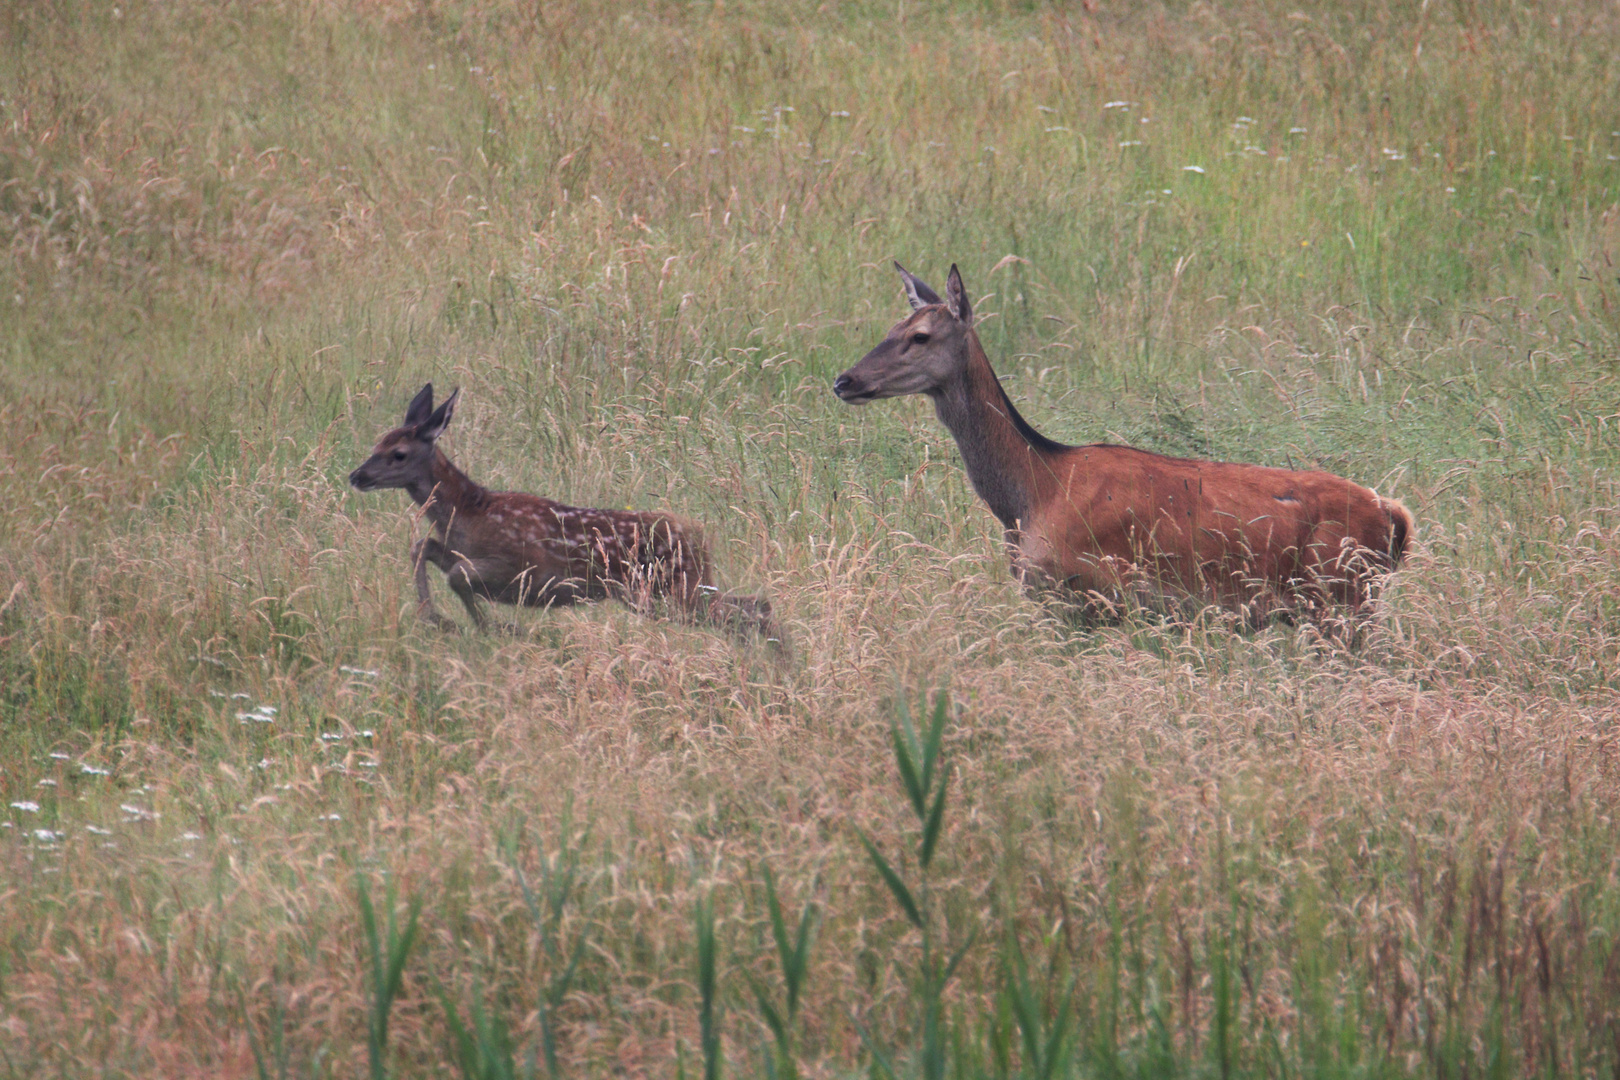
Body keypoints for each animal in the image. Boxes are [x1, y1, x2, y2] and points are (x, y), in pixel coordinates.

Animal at [349, 386, 784, 650]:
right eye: (375, 444)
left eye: (398, 453)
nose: (356, 475)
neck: (468, 512)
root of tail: (699, 537)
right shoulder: (458, 550)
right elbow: (422, 547)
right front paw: (439, 618)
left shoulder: (524, 565)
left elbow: (457, 576)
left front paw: (491, 626)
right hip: (673, 590)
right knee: (756, 606)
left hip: (667, 590)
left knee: (751, 611)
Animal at [842, 260, 1412, 625]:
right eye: (892, 325)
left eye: (919, 336)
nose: (844, 380)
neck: (1032, 494)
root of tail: (1393, 516)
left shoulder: (1099, 595)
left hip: (1342, 598)